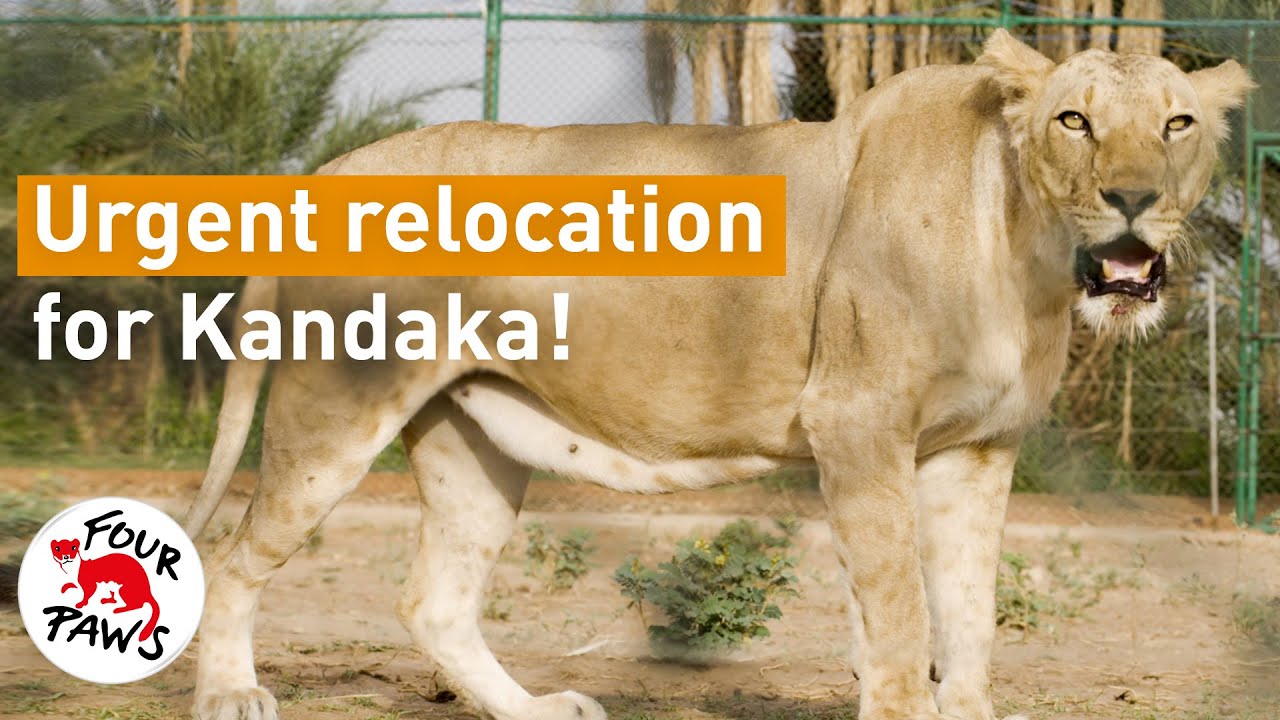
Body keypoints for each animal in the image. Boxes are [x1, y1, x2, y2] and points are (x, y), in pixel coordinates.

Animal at [181, 30, 1252, 720]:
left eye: (1177, 124)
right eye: (1074, 120)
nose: (1133, 198)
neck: (1025, 256)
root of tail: (319, 174)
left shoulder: (976, 450)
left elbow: (968, 613)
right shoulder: (857, 422)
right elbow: (900, 615)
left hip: (471, 436)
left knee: (433, 601)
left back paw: (540, 708)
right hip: (334, 408)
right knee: (235, 558)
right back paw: (232, 694)